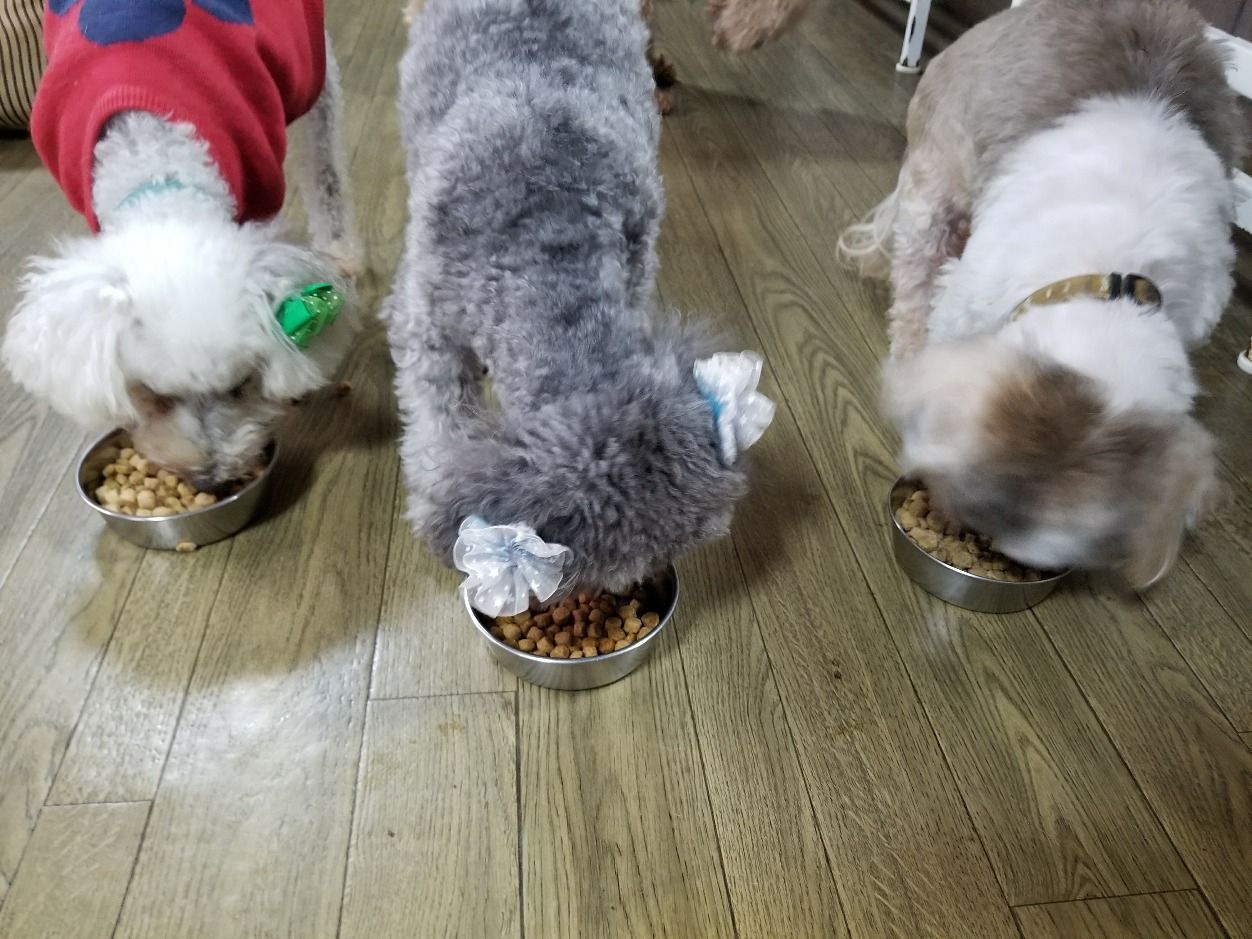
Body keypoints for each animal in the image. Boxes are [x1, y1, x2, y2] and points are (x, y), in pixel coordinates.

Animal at [2, 0, 360, 490]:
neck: (159, 169)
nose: (210, 479)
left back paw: (341, 251)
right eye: (152, 395)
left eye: (241, 385)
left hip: (311, 72)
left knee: (325, 164)